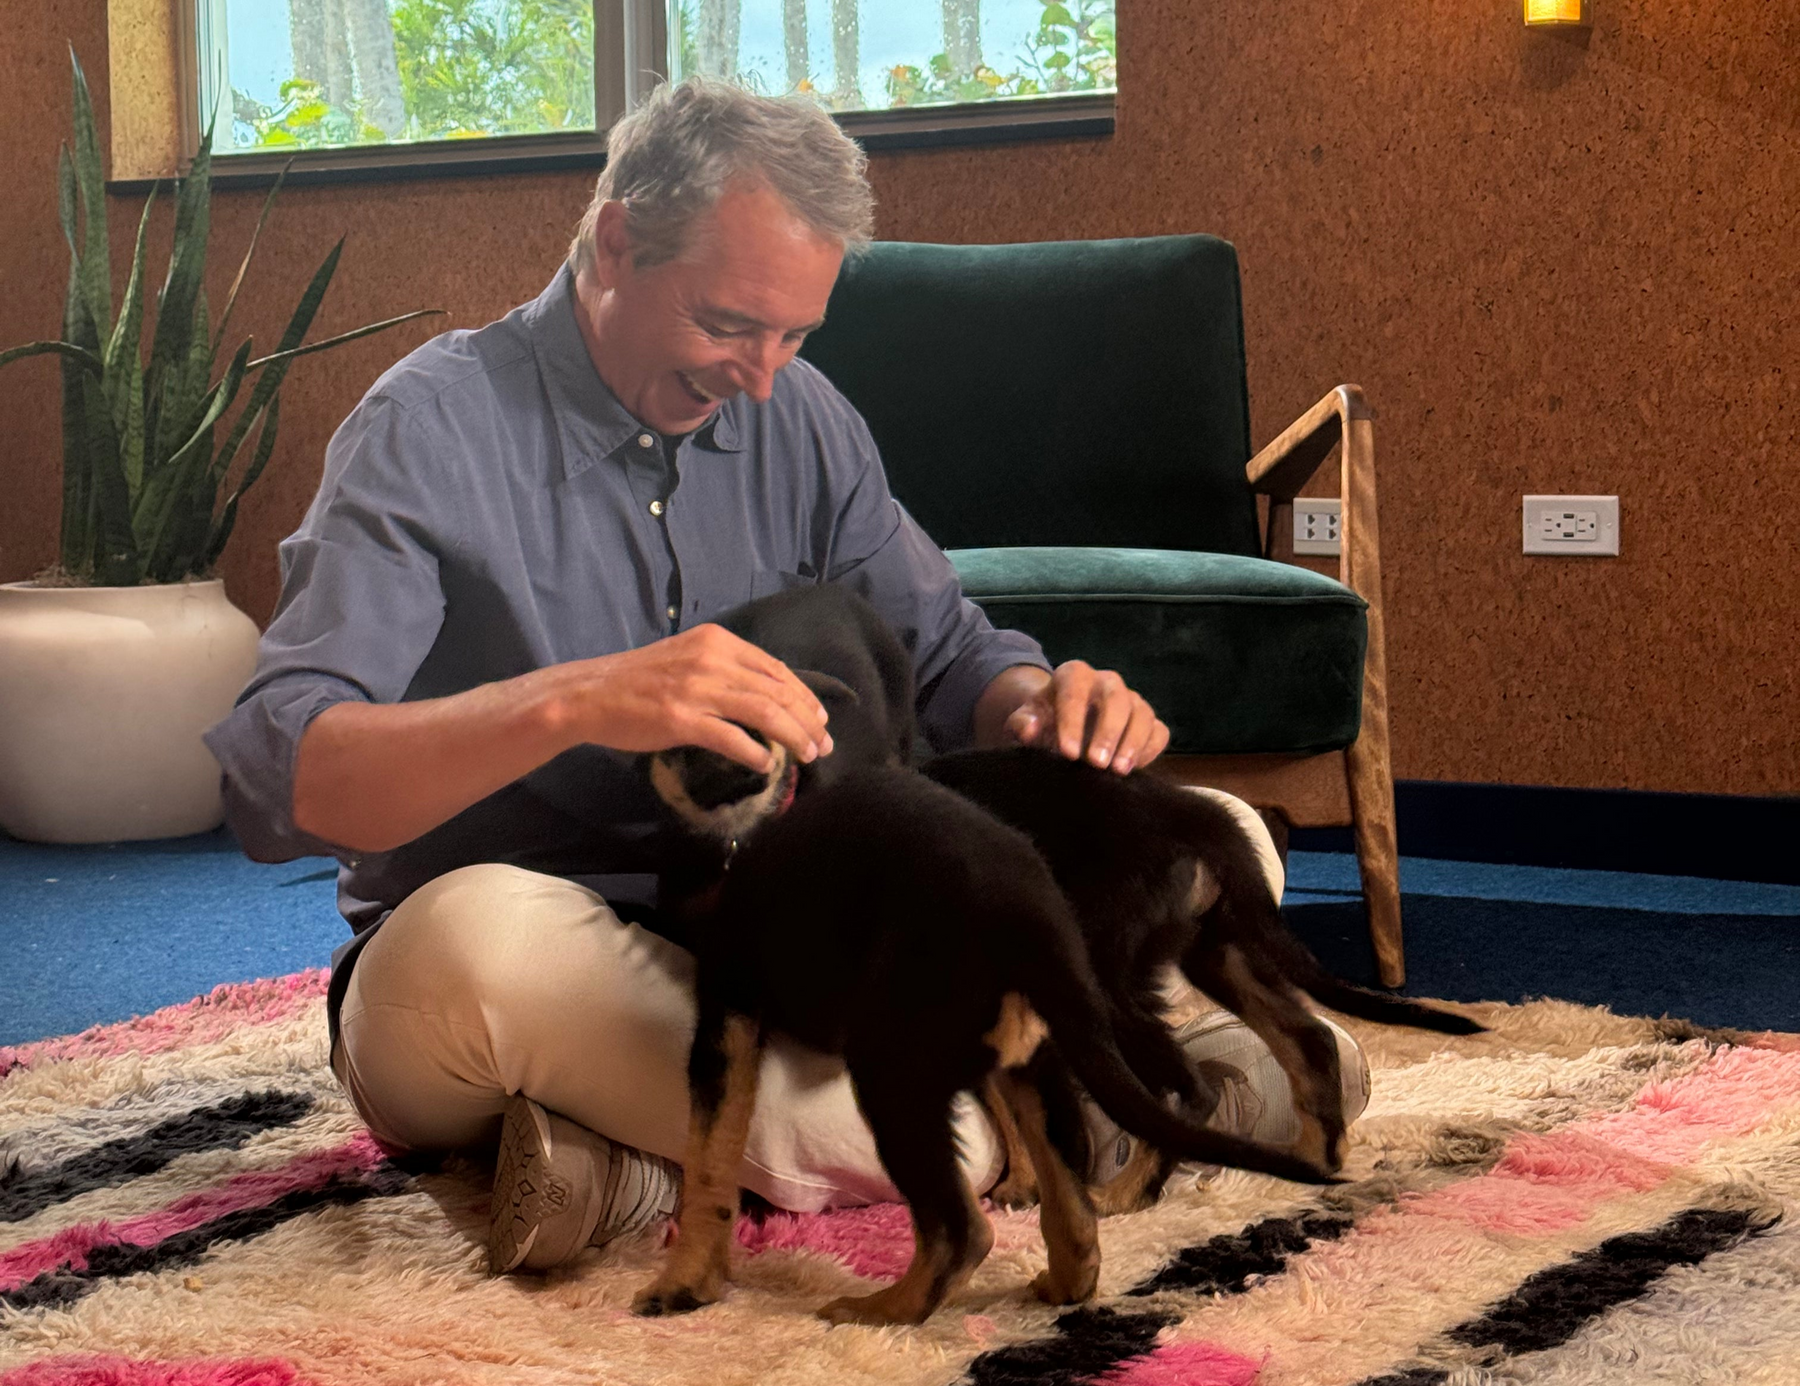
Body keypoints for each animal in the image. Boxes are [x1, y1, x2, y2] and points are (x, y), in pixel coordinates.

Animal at [921, 746, 1487, 1213]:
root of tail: (1192, 811)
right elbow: (1005, 1106)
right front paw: (1020, 1185)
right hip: (1214, 949)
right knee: (1308, 1036)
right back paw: (1312, 1157)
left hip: (1108, 981)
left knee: (1189, 1091)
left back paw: (1125, 1195)